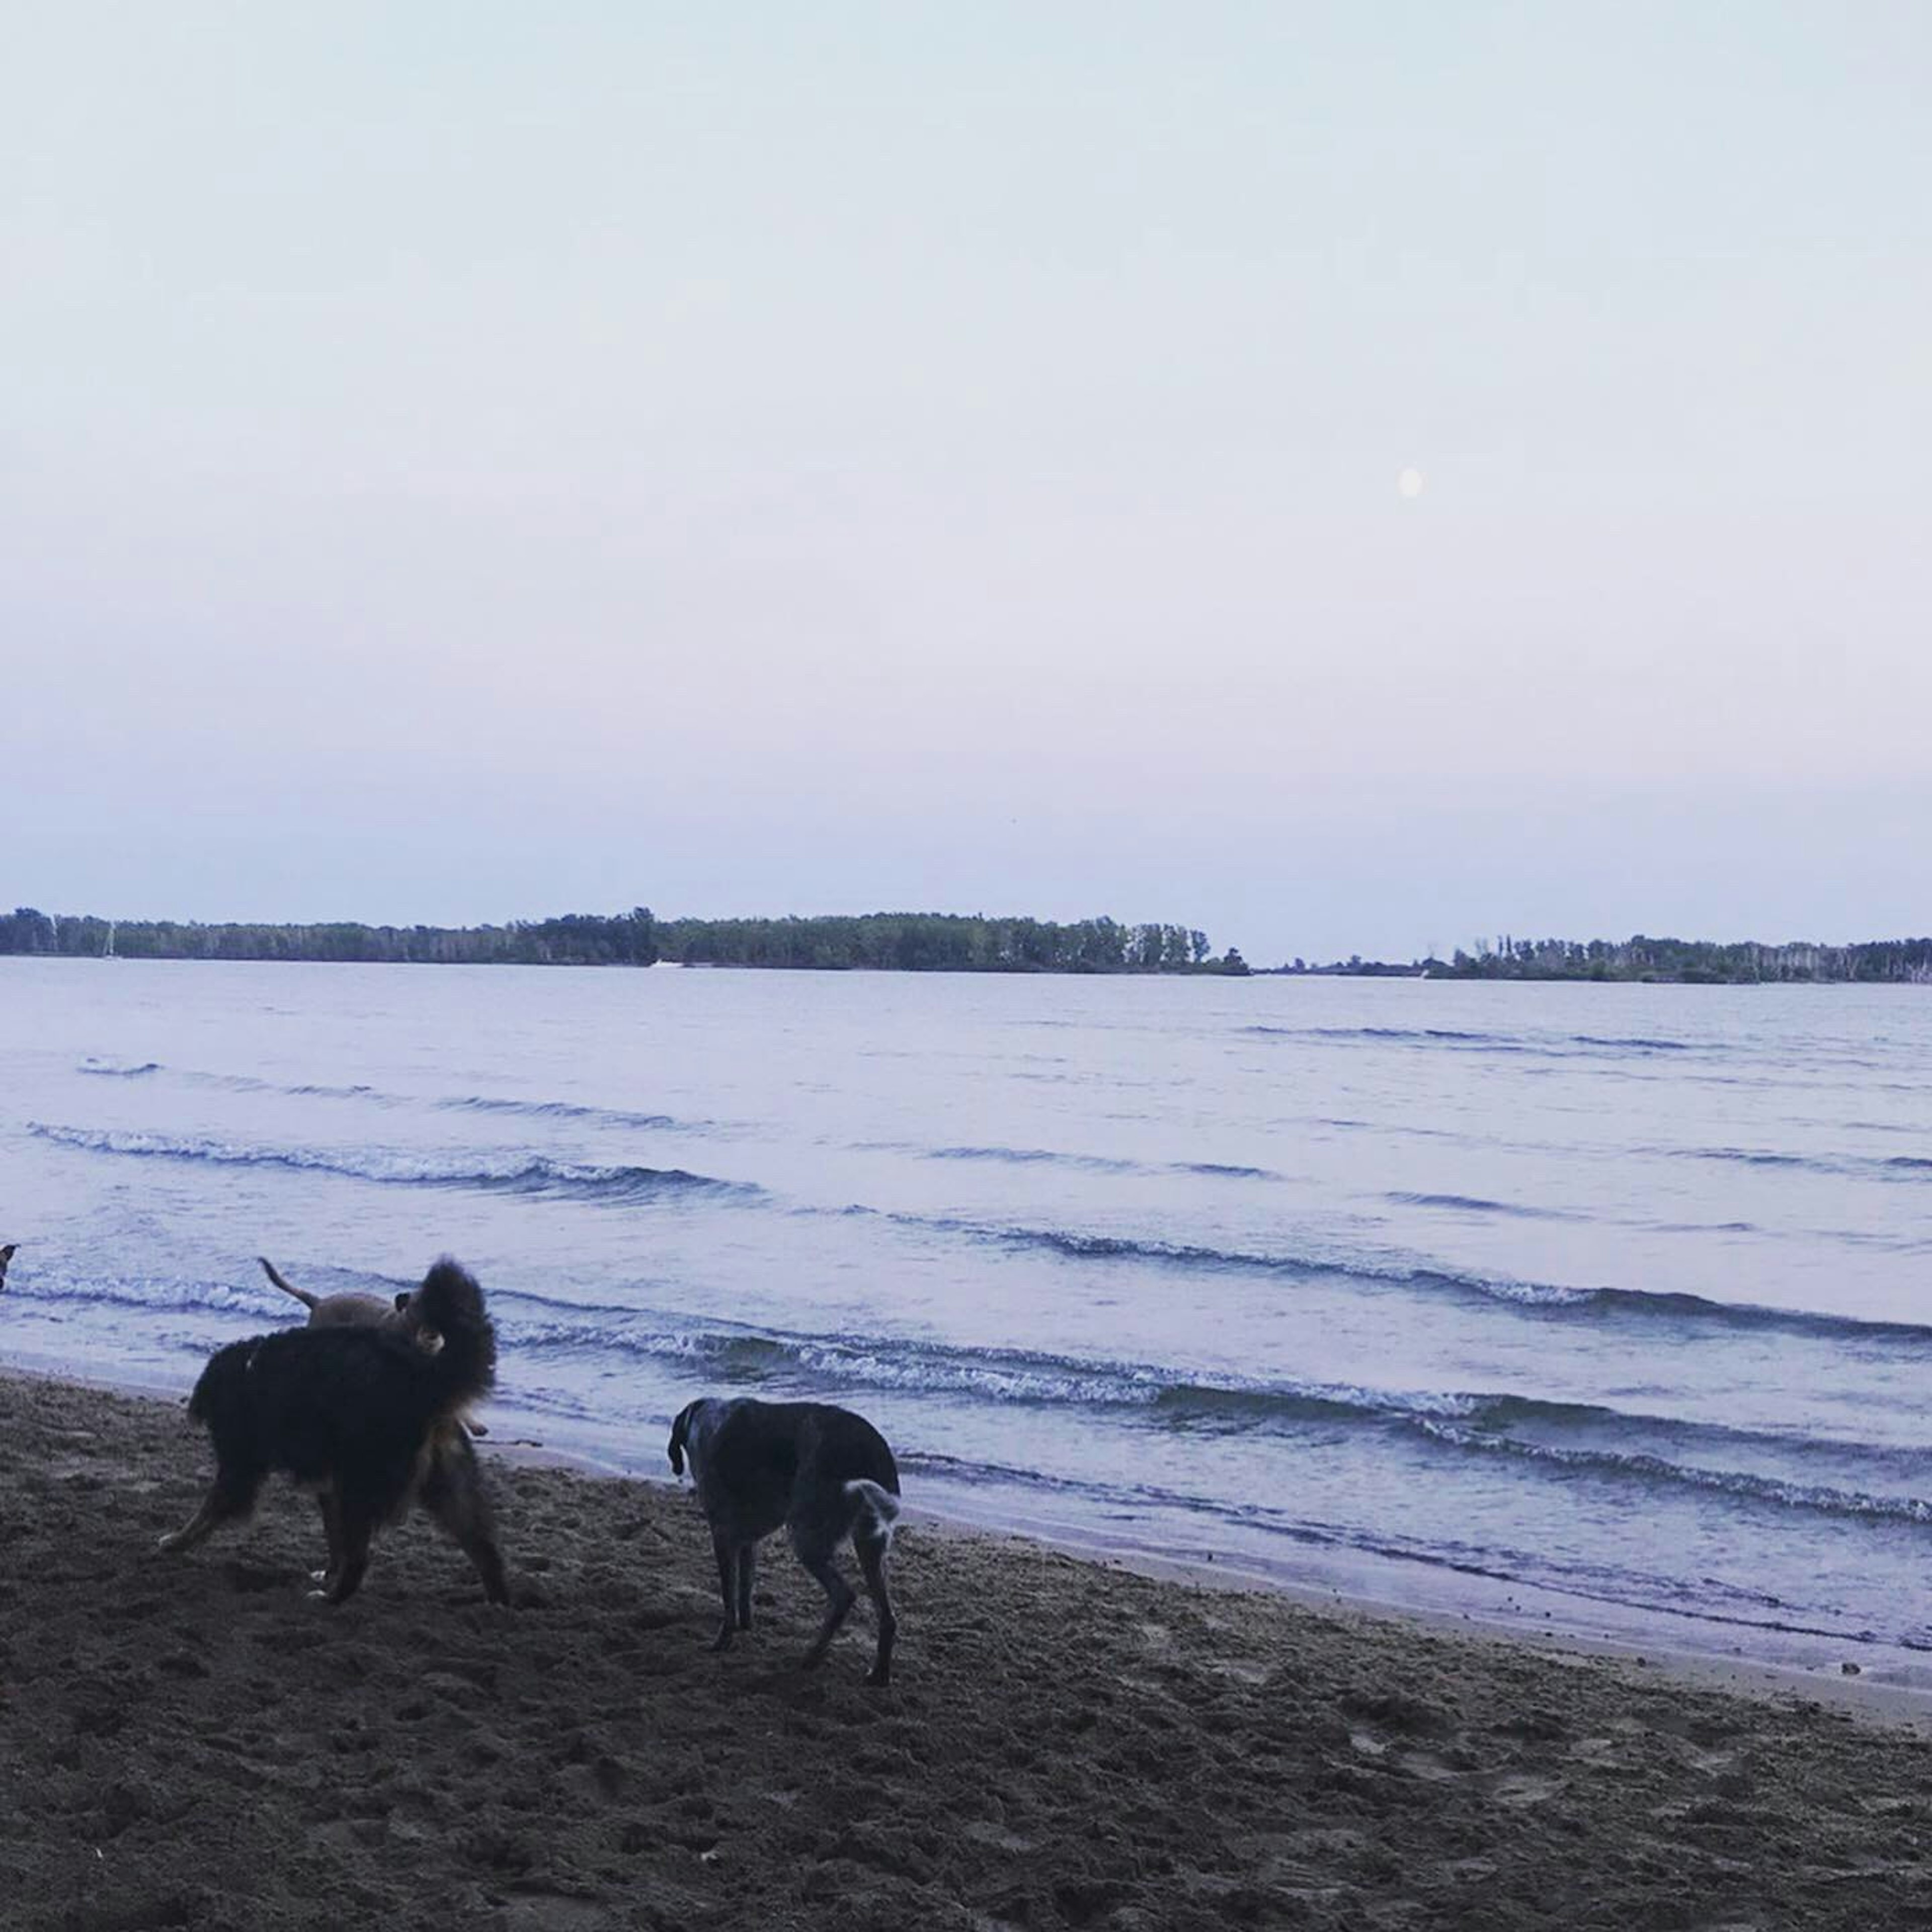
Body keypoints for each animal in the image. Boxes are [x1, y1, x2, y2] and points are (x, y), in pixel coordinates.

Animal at [161, 1252, 506, 1599]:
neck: (247, 1368)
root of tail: (423, 1380)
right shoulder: (326, 1487)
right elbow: (333, 1537)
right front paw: (329, 1571)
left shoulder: (242, 1467)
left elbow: (209, 1509)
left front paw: (176, 1542)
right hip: (444, 1486)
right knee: (485, 1551)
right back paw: (495, 1604)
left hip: (362, 1482)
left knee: (361, 1560)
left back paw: (331, 1598)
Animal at [668, 1399, 900, 1684]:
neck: (704, 1420)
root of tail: (871, 1446)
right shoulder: (746, 1542)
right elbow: (745, 1590)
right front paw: (746, 1629)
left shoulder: (723, 1536)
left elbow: (728, 1600)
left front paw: (722, 1641)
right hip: (870, 1546)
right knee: (887, 1618)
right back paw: (879, 1674)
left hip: (806, 1538)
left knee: (844, 1595)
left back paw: (812, 1657)